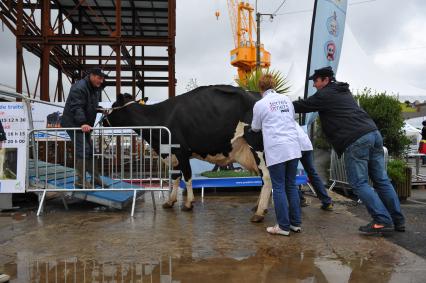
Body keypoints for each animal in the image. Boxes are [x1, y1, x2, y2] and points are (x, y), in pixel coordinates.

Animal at [103, 85, 270, 223]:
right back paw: (258, 207)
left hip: (259, 148)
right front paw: (170, 202)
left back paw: (259, 212)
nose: (102, 121)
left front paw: (189, 203)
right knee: (263, 179)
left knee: (267, 178)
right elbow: (176, 177)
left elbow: (188, 177)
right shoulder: (172, 155)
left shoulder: (181, 151)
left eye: (113, 106)